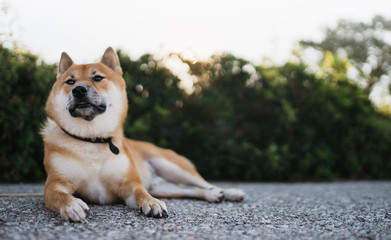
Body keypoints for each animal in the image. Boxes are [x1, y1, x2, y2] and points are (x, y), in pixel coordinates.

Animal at [42, 47, 245, 223]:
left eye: (98, 77)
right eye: (70, 82)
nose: (79, 90)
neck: (92, 140)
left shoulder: (129, 182)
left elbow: (141, 193)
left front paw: (152, 203)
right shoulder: (55, 182)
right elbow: (59, 195)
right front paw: (71, 205)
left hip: (174, 168)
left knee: (202, 182)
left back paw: (229, 192)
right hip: (164, 188)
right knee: (191, 190)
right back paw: (211, 195)